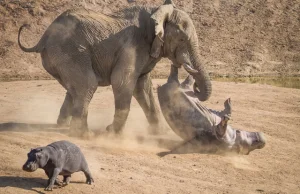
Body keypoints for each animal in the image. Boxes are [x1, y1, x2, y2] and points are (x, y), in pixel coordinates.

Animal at [17, 0, 212, 136]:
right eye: (182, 39)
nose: (196, 87)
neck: (157, 12)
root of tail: (44, 37)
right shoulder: (132, 46)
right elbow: (123, 81)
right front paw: (112, 133)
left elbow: (143, 87)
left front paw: (160, 133)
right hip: (69, 51)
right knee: (87, 84)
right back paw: (84, 135)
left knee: (75, 88)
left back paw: (62, 125)